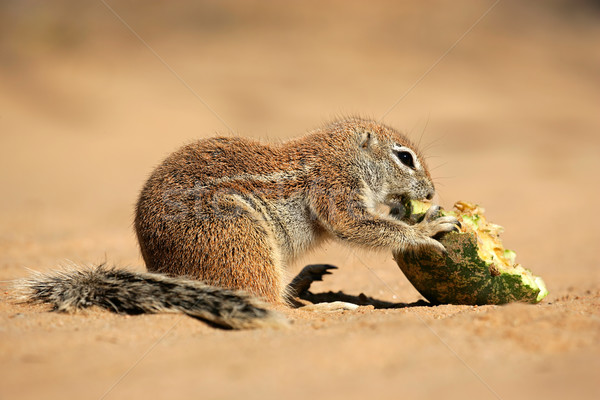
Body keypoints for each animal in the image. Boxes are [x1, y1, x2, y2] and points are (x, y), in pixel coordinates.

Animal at [17, 118, 460, 328]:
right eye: (405, 157)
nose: (429, 194)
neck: (340, 152)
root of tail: (167, 270)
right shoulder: (336, 184)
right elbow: (355, 225)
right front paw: (424, 231)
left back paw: (304, 284)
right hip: (241, 235)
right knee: (275, 304)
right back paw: (330, 307)